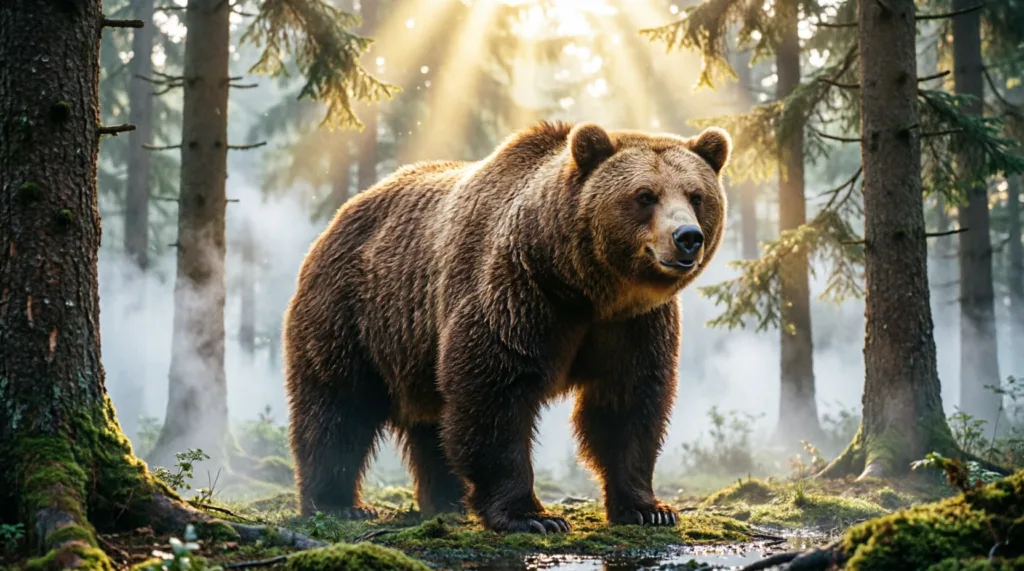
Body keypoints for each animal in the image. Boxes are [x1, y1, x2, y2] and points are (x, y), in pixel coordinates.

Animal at [282, 121, 731, 533]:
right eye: (644, 195)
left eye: (696, 195)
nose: (687, 237)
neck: (584, 288)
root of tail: (338, 218)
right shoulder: (517, 294)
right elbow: (494, 395)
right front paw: (531, 516)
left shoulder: (632, 325)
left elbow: (628, 403)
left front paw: (649, 508)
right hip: (355, 311)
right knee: (337, 406)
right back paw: (339, 504)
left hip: (415, 346)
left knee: (432, 424)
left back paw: (447, 501)